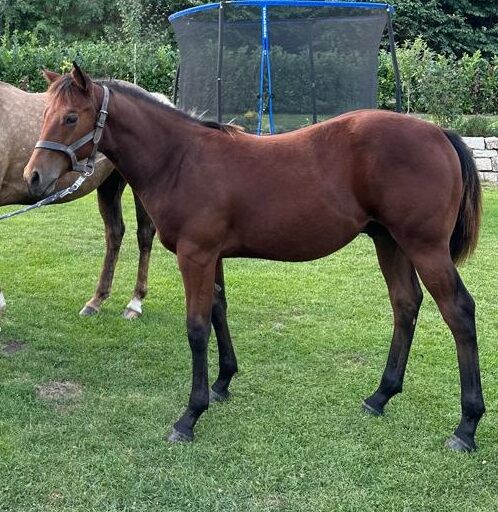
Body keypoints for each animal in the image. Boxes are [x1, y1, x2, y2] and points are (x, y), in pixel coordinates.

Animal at [0, 80, 163, 318]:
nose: (33, 176)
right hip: (109, 186)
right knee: (115, 233)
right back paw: (97, 300)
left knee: (144, 234)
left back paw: (134, 303)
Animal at [24, 65, 486, 452]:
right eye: (45, 114)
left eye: (70, 118)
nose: (34, 177)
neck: (180, 159)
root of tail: (440, 133)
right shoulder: (213, 256)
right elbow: (218, 310)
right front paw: (222, 383)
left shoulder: (195, 257)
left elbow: (196, 328)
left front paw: (189, 416)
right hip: (389, 242)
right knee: (405, 305)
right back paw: (380, 395)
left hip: (424, 247)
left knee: (459, 312)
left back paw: (466, 427)